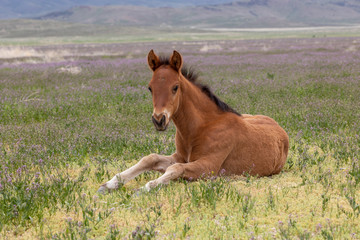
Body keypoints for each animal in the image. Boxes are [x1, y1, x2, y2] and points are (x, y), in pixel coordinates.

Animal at [97, 49, 288, 193]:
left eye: (175, 87)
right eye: (150, 88)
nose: (159, 120)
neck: (201, 128)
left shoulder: (209, 166)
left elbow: (175, 169)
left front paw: (144, 188)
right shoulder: (179, 156)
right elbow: (150, 159)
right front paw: (110, 184)